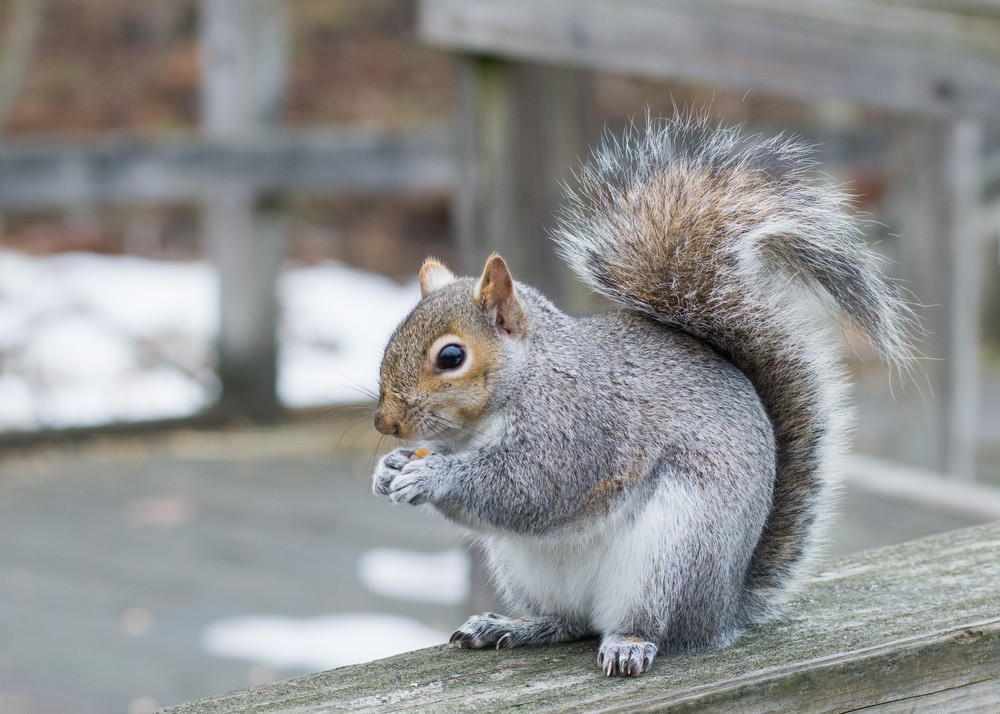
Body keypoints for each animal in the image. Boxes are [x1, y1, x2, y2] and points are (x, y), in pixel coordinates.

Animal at [370, 114, 912, 677]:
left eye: (452, 357)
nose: (385, 424)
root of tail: (724, 606)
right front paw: (389, 468)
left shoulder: (579, 427)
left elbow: (530, 487)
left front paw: (431, 475)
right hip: (527, 567)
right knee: (569, 622)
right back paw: (515, 626)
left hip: (674, 553)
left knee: (651, 625)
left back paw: (629, 643)